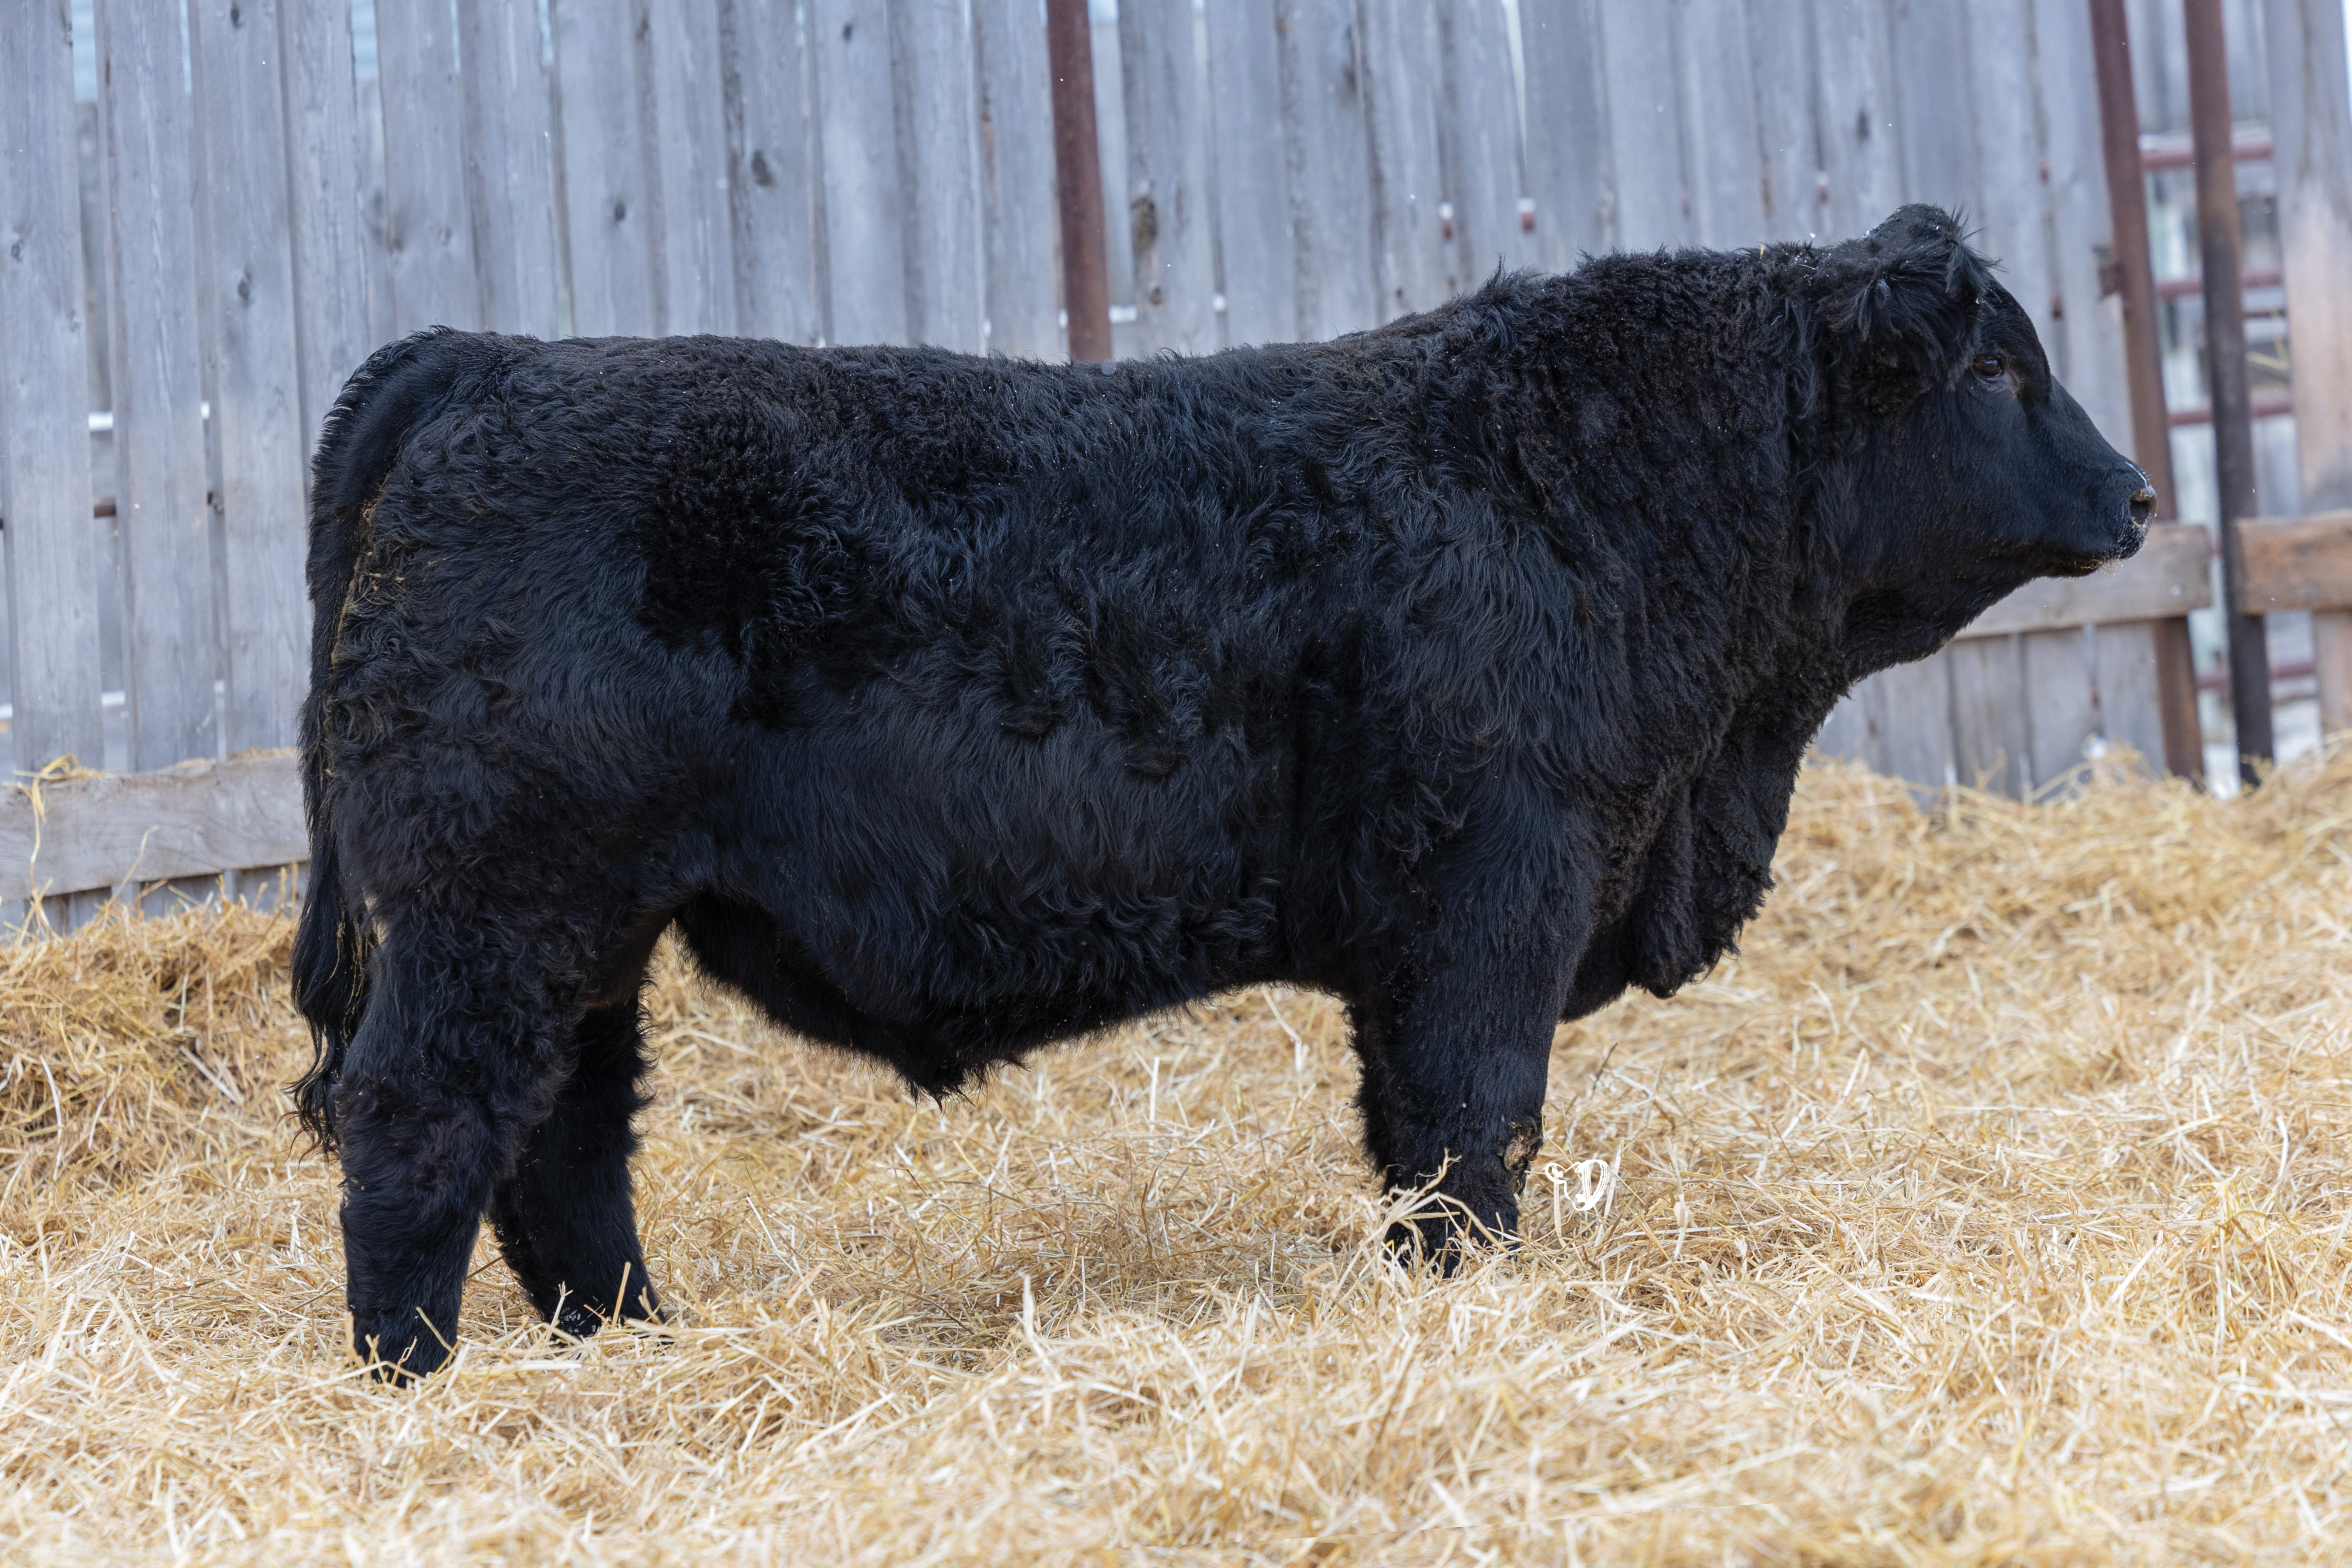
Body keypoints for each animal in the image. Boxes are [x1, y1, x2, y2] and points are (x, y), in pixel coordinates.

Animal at [292, 205, 2152, 1379]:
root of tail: (496, 362)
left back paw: (634, 1347)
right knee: (423, 1120)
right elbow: (1471, 1128)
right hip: (494, 907)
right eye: (1997, 373)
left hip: (585, 932)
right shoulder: (1492, 894)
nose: (2137, 490)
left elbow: (1422, 1137)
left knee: (562, 1142)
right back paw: (412, 1381)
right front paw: (1470, 1302)